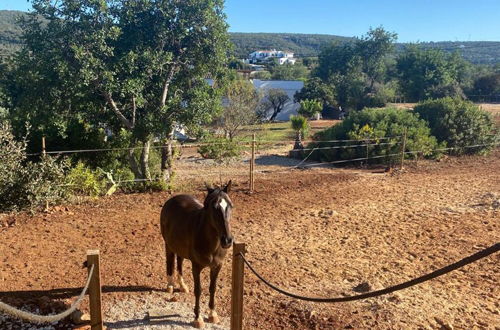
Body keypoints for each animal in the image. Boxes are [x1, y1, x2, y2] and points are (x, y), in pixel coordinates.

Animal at [160, 180, 234, 328]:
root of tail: (171, 200)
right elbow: (198, 290)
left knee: (179, 261)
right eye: (214, 207)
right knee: (170, 261)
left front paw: (212, 315)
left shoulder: (217, 267)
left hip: (180, 247)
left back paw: (182, 286)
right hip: (168, 245)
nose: (227, 240)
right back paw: (170, 286)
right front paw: (198, 318)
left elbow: (212, 288)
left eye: (230, 206)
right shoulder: (196, 267)